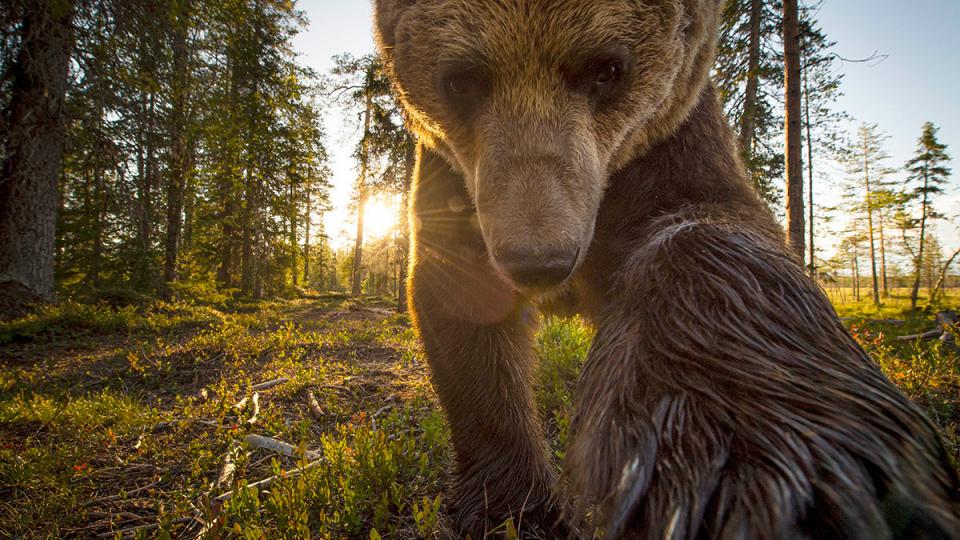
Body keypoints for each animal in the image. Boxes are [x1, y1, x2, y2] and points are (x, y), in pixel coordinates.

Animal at [372, 0, 960, 536]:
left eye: (607, 68)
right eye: (461, 79)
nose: (540, 260)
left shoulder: (675, 136)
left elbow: (708, 235)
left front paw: (736, 472)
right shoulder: (453, 172)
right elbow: (464, 299)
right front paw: (510, 507)